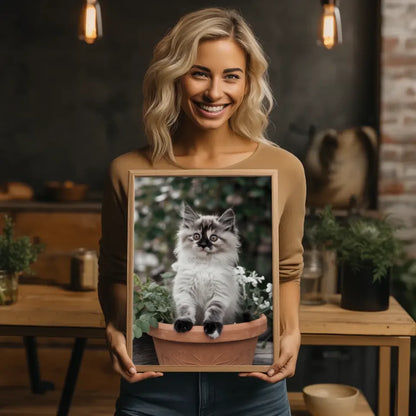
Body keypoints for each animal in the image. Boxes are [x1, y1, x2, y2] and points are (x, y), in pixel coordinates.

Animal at [172, 203, 240, 340]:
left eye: (213, 238)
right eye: (196, 236)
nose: (203, 244)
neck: (203, 266)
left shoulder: (219, 294)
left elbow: (213, 312)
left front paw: (212, 328)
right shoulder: (185, 291)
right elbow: (186, 309)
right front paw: (183, 324)